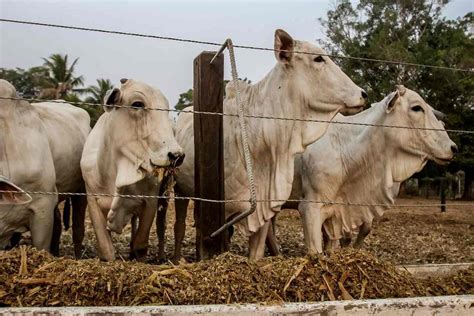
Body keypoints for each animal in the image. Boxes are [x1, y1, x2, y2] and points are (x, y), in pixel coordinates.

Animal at [80, 78, 184, 260]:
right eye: (137, 104)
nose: (176, 155)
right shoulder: (92, 199)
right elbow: (106, 249)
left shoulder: (150, 200)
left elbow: (141, 245)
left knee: (160, 225)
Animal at [171, 28, 366, 260]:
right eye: (318, 58)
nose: (363, 94)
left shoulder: (262, 209)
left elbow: (255, 252)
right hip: (180, 190)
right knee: (179, 225)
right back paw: (176, 258)